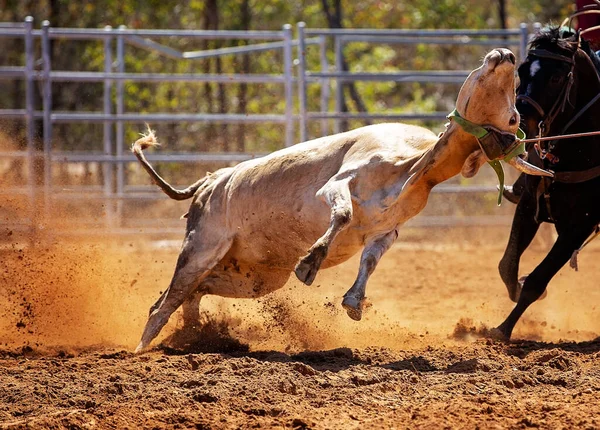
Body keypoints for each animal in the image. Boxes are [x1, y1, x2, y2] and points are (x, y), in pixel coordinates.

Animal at [494, 28, 600, 340]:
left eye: (555, 78)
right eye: (521, 71)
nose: (517, 122)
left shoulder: (580, 227)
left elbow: (538, 280)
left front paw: (502, 329)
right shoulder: (530, 205)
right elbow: (507, 265)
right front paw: (517, 285)